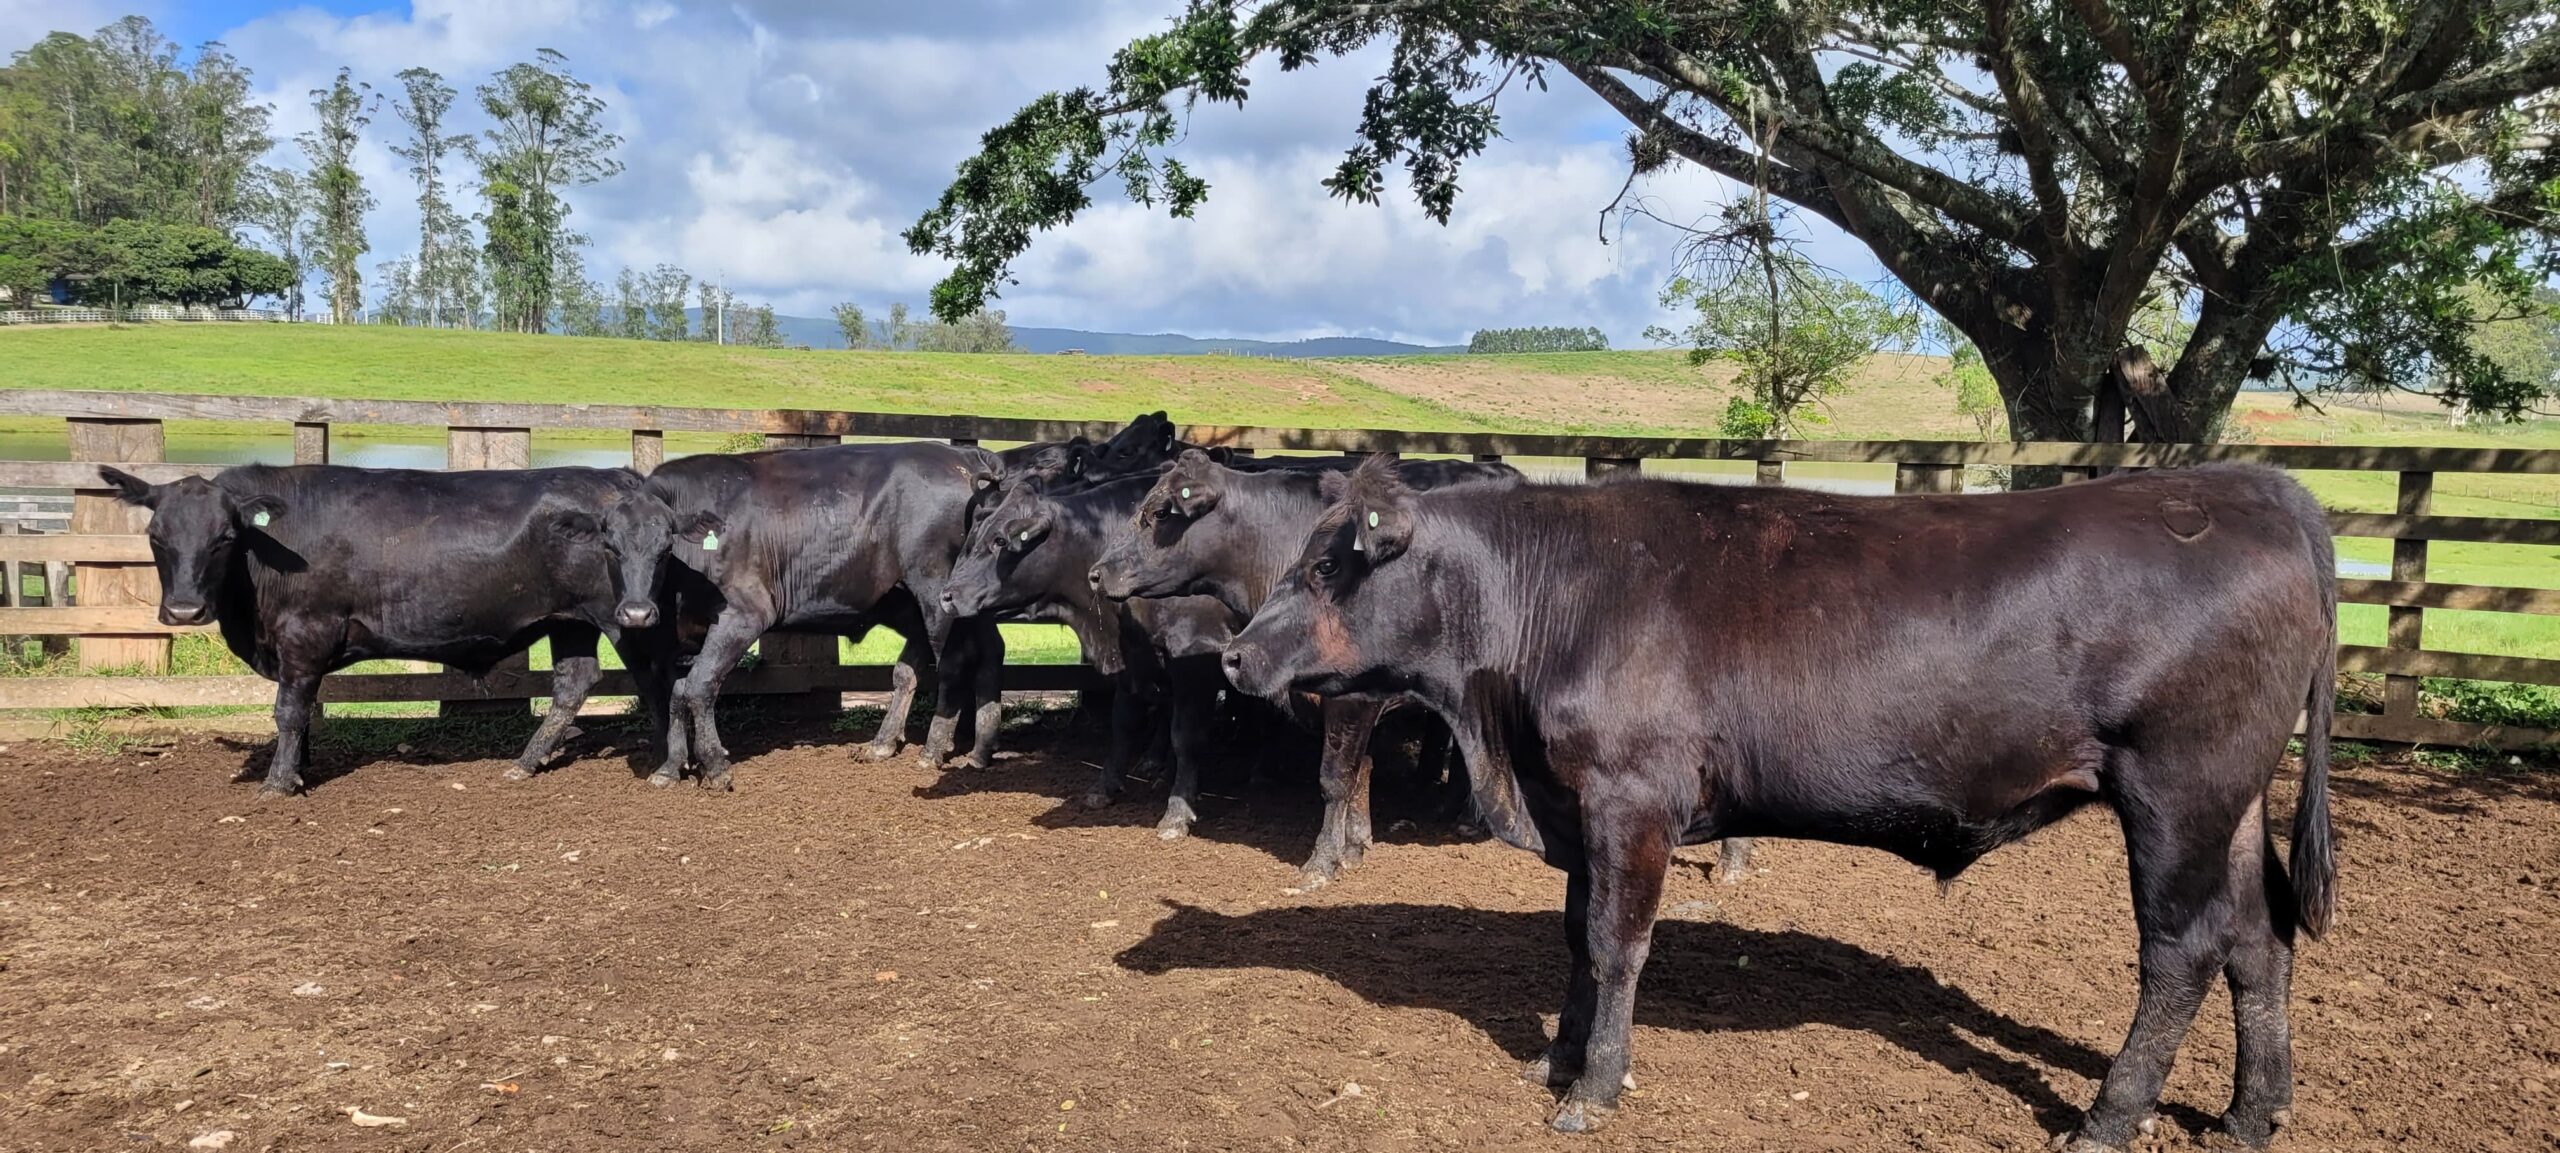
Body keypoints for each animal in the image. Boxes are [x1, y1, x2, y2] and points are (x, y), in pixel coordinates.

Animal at [98, 463, 686, 799]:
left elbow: (289, 710)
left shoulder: (305, 634)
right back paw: (526, 761)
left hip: (627, 616)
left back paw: (667, 762)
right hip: (567, 619)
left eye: (224, 536)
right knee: (574, 681)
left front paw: (278, 782)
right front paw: (300, 766)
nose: (184, 610)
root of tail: (621, 476)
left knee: (658, 679)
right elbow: (302, 711)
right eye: (155, 535)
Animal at [645, 438, 1003, 789]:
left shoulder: (742, 615)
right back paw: (958, 746)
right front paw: (670, 767)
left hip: (937, 594)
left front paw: (715, 767)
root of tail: (961, 454)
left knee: (953, 663)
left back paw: (934, 749)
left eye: (663, 547)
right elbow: (677, 691)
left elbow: (700, 684)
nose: (638, 610)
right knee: (966, 657)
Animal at [947, 474, 1233, 835]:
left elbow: (1186, 737)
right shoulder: (1132, 657)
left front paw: (1178, 811)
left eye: (1000, 540)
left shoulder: (1195, 656)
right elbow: (1123, 723)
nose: (947, 595)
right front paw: (1105, 787)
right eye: (974, 536)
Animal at [1090, 450, 1525, 881]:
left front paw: (1323, 860)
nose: (1096, 573)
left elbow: (1336, 779)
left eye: (1161, 512)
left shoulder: (1353, 701)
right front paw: (1355, 845)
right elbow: (1361, 772)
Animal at [1218, 456, 2344, 1147]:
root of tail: (2251, 485)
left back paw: (2107, 1116)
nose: (1231, 655)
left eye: (1330, 564)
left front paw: (1594, 1087)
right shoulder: (1578, 805)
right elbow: (1575, 937)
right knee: (2260, 940)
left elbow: (1616, 944)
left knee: (2182, 950)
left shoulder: (1630, 799)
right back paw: (2254, 1112)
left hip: (2176, 789)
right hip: (2231, 801)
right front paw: (1558, 1055)